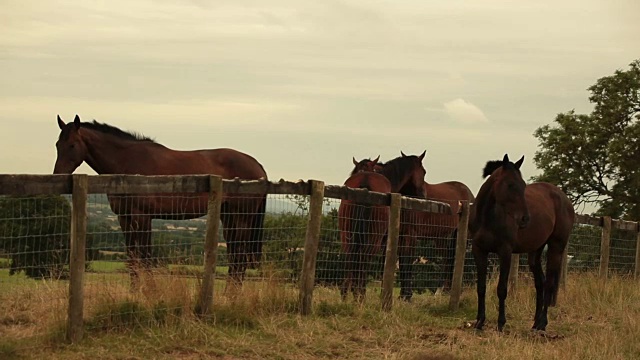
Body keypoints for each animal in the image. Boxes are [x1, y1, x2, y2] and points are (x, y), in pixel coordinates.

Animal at [52, 115, 268, 290]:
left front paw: (150, 292)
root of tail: (257, 165)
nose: (57, 177)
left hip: (242, 218)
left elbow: (146, 257)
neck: (126, 164)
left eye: (72, 145)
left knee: (240, 257)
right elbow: (132, 257)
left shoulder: (142, 217)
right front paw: (134, 292)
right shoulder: (124, 218)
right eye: (57, 145)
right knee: (234, 255)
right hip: (229, 217)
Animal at [340, 156, 390, 302]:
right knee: (363, 262)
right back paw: (360, 295)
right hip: (373, 241)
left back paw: (347, 293)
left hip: (347, 237)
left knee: (351, 259)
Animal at [470, 155, 576, 332]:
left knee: (549, 284)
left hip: (556, 247)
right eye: (510, 185)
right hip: (536, 252)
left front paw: (501, 324)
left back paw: (542, 323)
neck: (488, 218)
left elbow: (502, 289)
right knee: (540, 283)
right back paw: (535, 323)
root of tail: (565, 199)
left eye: (524, 185)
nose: (525, 218)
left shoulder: (505, 252)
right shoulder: (479, 251)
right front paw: (479, 322)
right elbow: (481, 288)